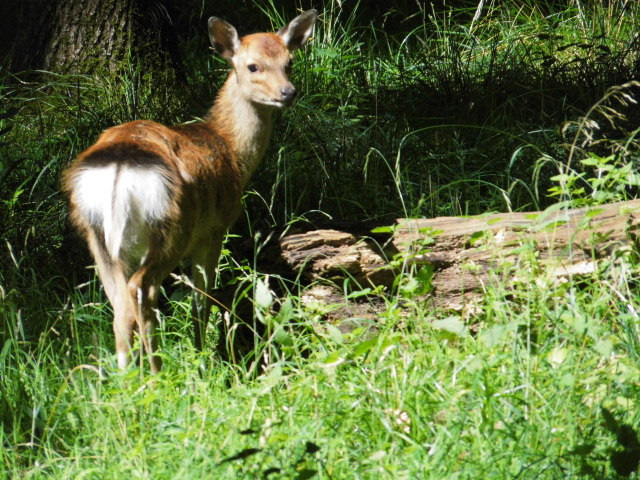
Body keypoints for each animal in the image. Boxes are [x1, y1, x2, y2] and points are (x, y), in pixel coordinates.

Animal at [62, 9, 318, 374]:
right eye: (253, 66)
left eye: (290, 62)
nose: (288, 92)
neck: (231, 150)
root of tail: (120, 166)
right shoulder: (215, 229)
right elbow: (202, 298)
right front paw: (205, 357)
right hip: (172, 226)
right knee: (143, 289)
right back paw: (157, 373)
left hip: (95, 233)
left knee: (119, 305)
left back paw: (128, 376)